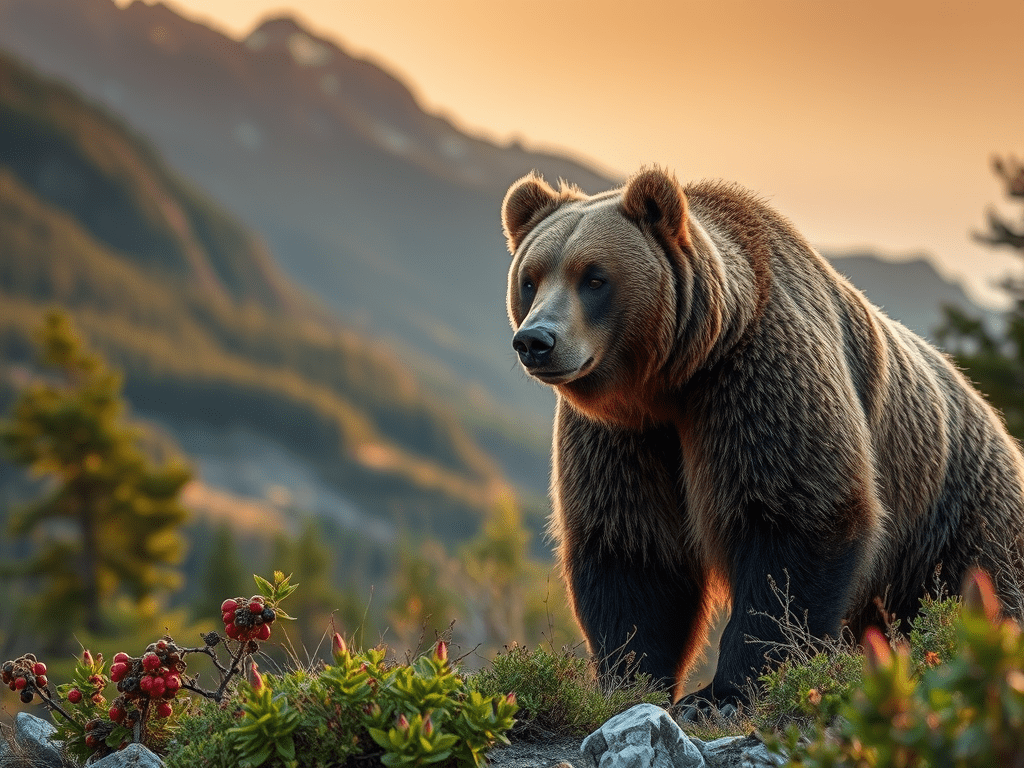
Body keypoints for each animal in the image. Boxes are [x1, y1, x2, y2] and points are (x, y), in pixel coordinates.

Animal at [501, 166, 1024, 715]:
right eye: (530, 279)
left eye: (595, 277)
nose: (536, 340)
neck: (673, 381)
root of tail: (1000, 427)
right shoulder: (623, 435)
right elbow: (630, 547)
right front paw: (632, 680)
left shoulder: (757, 382)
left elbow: (791, 526)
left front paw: (721, 694)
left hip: (955, 512)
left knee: (979, 586)